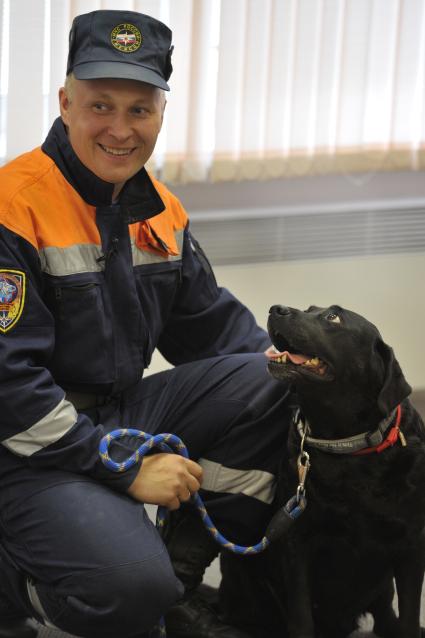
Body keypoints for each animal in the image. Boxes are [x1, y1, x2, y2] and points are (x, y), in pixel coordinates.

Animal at [219, 304, 424, 638]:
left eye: (333, 317)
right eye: (310, 309)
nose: (276, 309)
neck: (346, 448)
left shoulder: (412, 543)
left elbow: (409, 616)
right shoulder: (296, 540)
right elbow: (301, 617)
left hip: (383, 585)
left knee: (384, 611)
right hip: (239, 565)